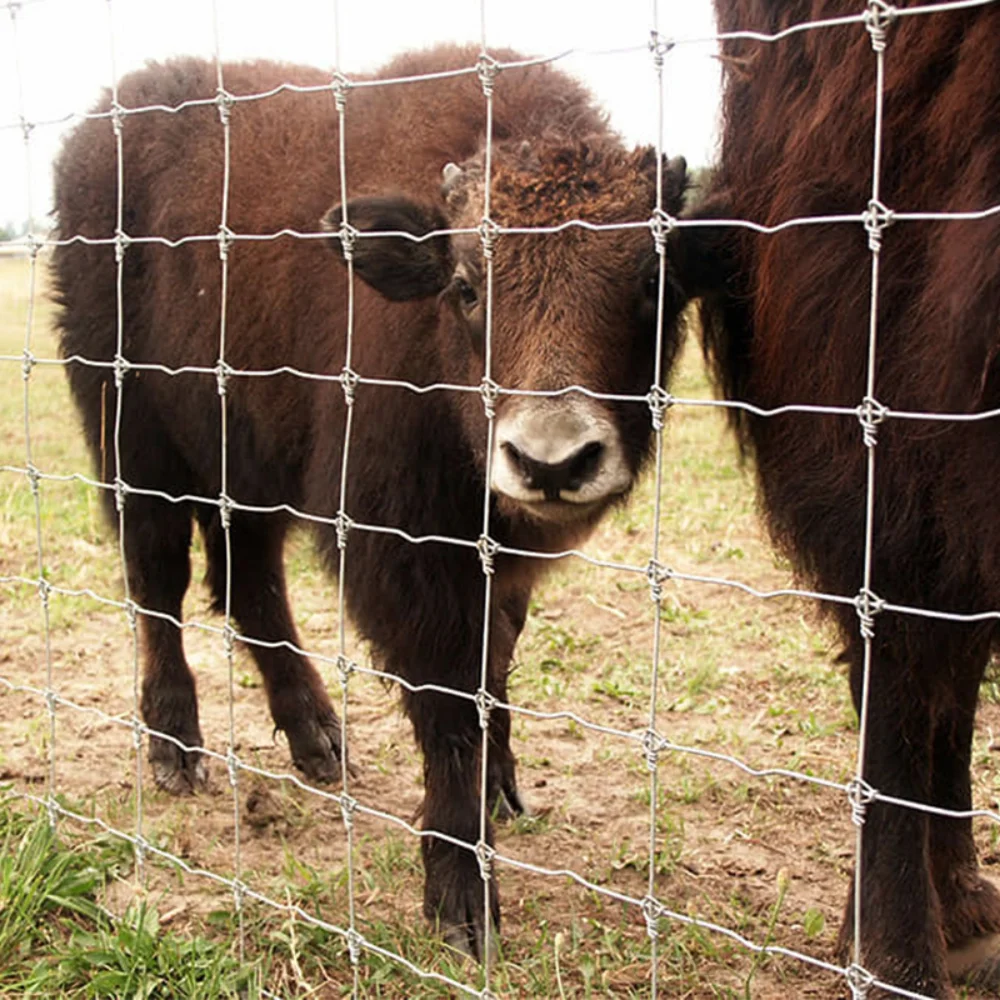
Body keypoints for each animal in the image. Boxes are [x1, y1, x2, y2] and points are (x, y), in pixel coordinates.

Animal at [51, 45, 691, 958]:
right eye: (465, 285)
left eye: (652, 280)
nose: (552, 459)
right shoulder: (407, 553)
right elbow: (449, 700)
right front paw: (463, 901)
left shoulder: (499, 562)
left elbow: (494, 666)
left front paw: (504, 790)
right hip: (135, 442)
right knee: (158, 582)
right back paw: (177, 747)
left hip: (249, 462)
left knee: (248, 583)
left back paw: (318, 739)